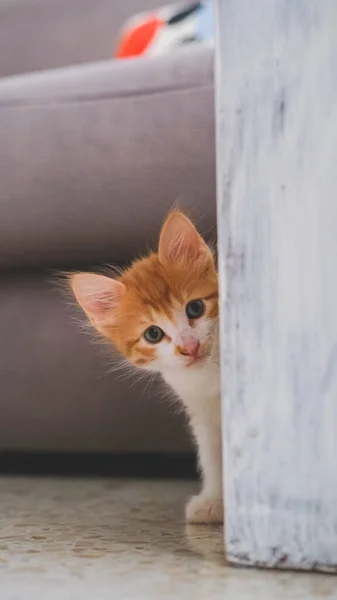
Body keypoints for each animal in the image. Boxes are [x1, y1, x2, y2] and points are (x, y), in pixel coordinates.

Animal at [69, 213, 222, 524]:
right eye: (153, 334)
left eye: (195, 308)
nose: (189, 347)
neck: (206, 376)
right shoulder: (202, 413)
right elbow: (212, 456)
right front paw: (214, 499)